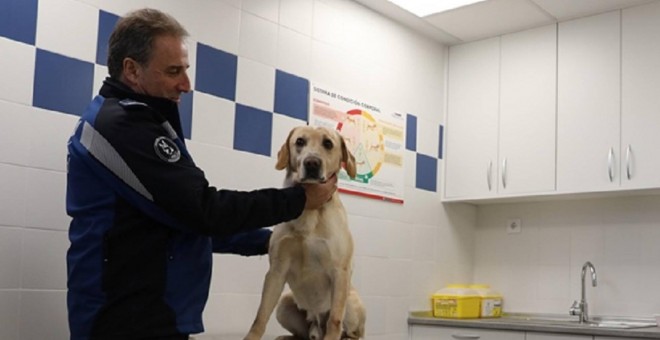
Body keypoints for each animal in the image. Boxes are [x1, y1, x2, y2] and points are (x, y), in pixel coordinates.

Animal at [245, 126, 366, 340]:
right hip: (285, 303)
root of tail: (316, 325)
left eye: (328, 143)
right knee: (301, 334)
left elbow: (335, 319)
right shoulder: (276, 271)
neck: (309, 210)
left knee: (350, 330)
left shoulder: (340, 271)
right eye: (300, 141)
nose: (312, 163)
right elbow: (261, 315)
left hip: (351, 301)